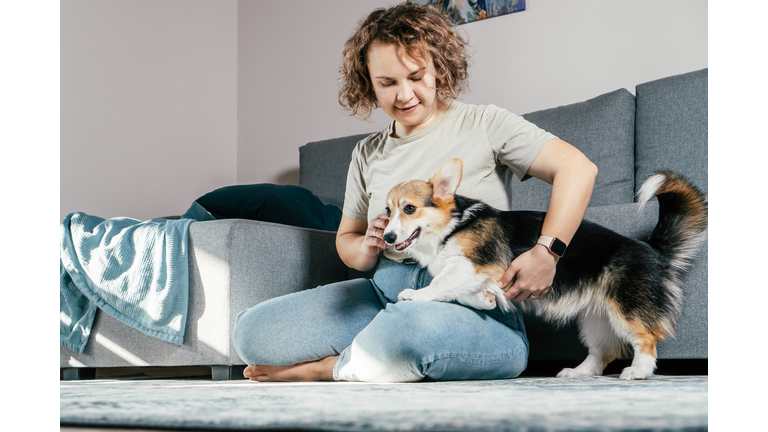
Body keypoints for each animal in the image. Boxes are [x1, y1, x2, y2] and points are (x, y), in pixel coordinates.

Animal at [382, 159, 708, 382]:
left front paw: (414, 295)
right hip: (595, 319)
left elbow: (440, 284)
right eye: (387, 211)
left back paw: (637, 371)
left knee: (647, 338)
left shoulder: (471, 264)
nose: (386, 237)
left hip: (626, 308)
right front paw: (484, 300)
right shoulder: (478, 274)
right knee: (602, 352)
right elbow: (464, 292)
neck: (452, 225)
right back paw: (578, 372)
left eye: (409, 209)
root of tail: (652, 248)